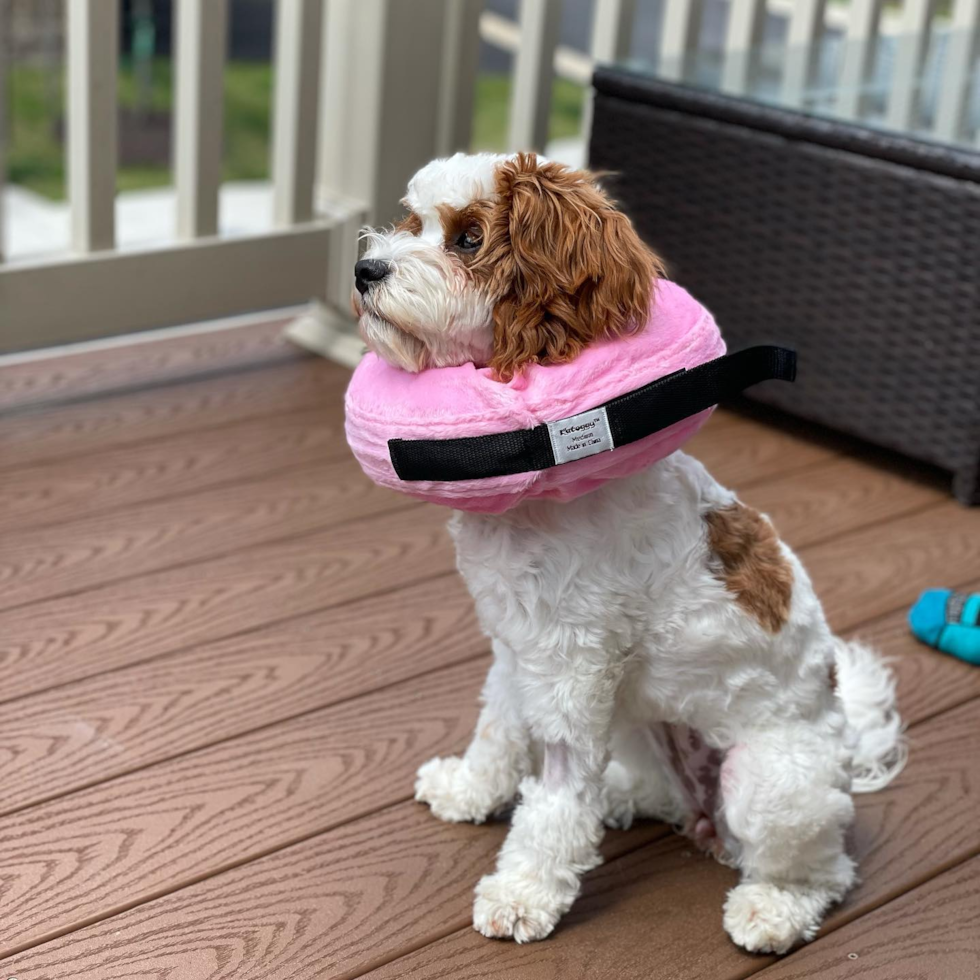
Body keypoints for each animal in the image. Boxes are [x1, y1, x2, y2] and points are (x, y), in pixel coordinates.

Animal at [350, 155, 904, 956]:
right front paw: (470, 790)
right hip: (642, 730)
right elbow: (497, 731)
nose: (365, 269)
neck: (538, 509)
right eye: (412, 221)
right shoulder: (515, 649)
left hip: (769, 783)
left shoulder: (570, 669)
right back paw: (621, 798)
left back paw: (774, 907)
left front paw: (523, 892)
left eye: (469, 238)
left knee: (824, 869)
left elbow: (555, 794)